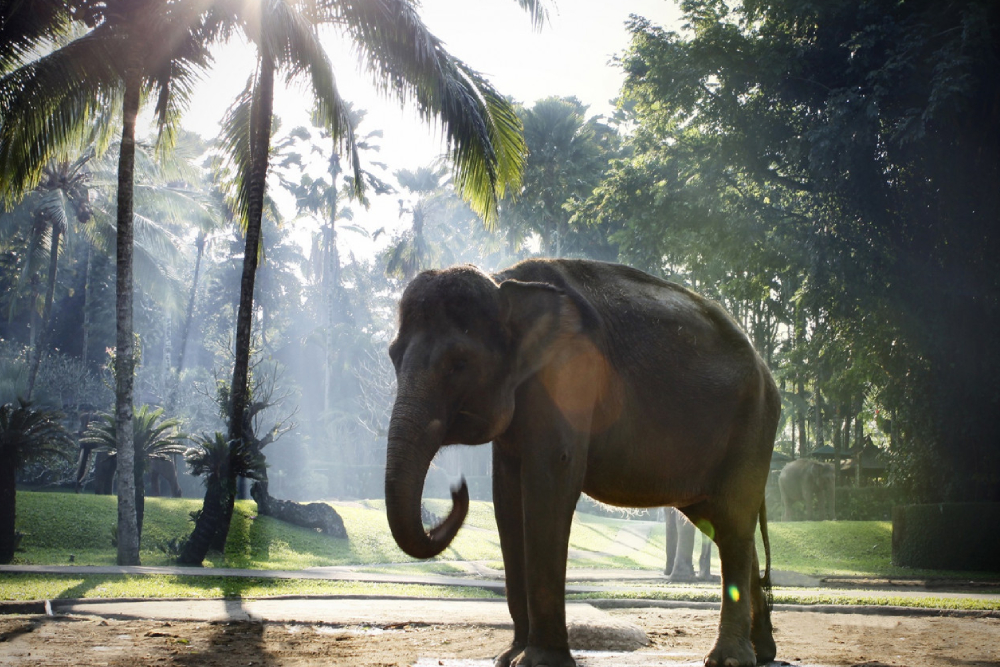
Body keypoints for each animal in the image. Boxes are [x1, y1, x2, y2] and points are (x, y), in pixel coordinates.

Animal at [383, 259, 780, 667]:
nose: (457, 488)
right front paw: (509, 657)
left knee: (733, 522)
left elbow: (550, 480)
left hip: (753, 428)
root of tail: (764, 367)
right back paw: (763, 652)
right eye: (393, 356)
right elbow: (506, 498)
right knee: (722, 524)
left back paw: (731, 659)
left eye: (458, 363)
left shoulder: (569, 376)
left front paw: (538, 661)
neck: (505, 282)